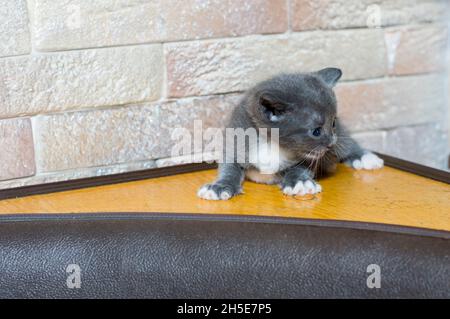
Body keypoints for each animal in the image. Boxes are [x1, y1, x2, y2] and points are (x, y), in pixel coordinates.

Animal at [198, 68, 384, 201]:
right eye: (316, 131)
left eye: (332, 123)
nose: (331, 143)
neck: (271, 142)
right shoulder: (235, 140)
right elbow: (229, 168)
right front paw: (220, 186)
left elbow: (299, 168)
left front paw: (299, 182)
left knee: (347, 144)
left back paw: (365, 158)